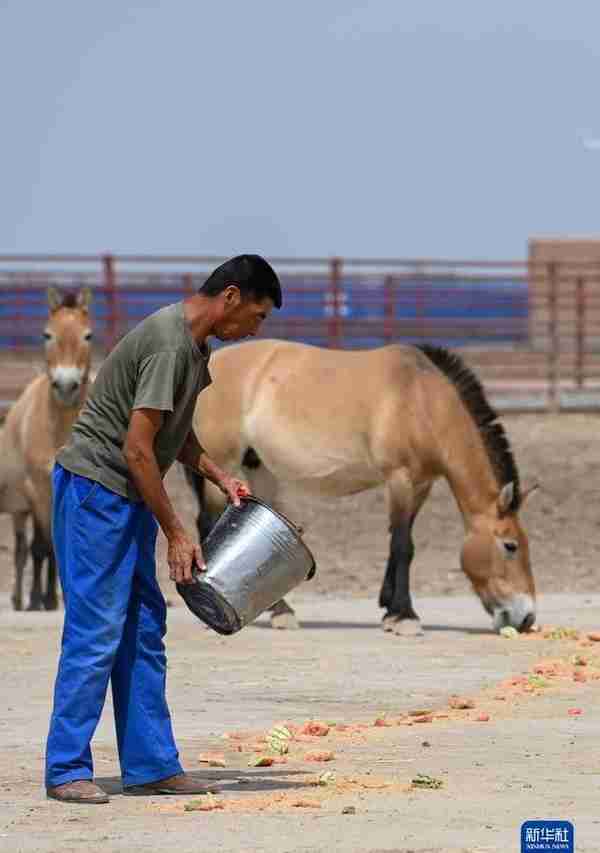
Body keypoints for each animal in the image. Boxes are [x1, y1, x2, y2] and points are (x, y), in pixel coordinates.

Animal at [0, 290, 94, 608]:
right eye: (47, 334)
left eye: (88, 335)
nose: (66, 385)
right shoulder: (38, 489)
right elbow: (42, 547)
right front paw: (38, 600)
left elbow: (56, 547)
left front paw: (53, 599)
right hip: (22, 507)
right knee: (24, 548)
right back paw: (22, 599)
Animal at [184, 338, 540, 632]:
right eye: (510, 546)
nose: (526, 617)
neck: (422, 399)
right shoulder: (400, 478)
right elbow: (403, 545)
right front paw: (405, 617)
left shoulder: (421, 484)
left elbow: (400, 540)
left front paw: (389, 608)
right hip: (222, 466)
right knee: (208, 522)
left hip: (257, 467)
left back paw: (281, 612)